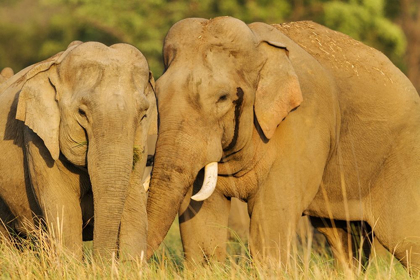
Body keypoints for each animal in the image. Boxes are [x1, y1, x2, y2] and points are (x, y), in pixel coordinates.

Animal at [0, 41, 157, 260]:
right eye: (82, 112)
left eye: (143, 115)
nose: (102, 262)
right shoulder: (36, 138)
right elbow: (64, 209)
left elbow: (134, 206)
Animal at [146, 16, 420, 270]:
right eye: (156, 92)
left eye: (223, 97)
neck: (259, 47)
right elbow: (201, 220)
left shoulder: (305, 120)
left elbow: (270, 216)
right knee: (342, 238)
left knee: (406, 239)